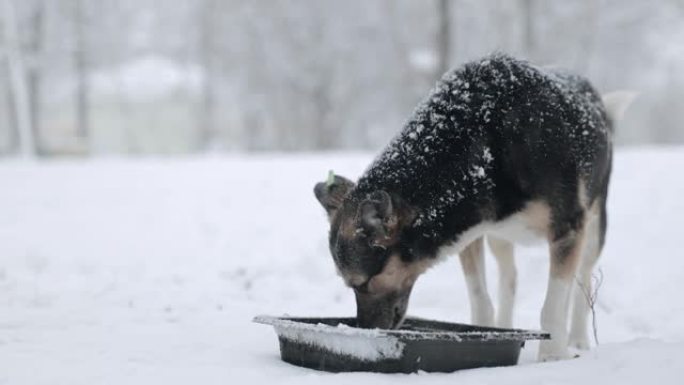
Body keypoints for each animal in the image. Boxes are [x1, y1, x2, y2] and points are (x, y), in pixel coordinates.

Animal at [312, 53, 632, 360]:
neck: (485, 146)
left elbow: (553, 305)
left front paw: (552, 356)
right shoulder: (471, 233)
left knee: (580, 282)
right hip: (502, 237)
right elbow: (481, 299)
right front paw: (486, 335)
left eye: (364, 283)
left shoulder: (568, 229)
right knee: (510, 278)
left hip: (593, 227)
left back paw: (576, 339)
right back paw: (507, 325)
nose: (365, 329)